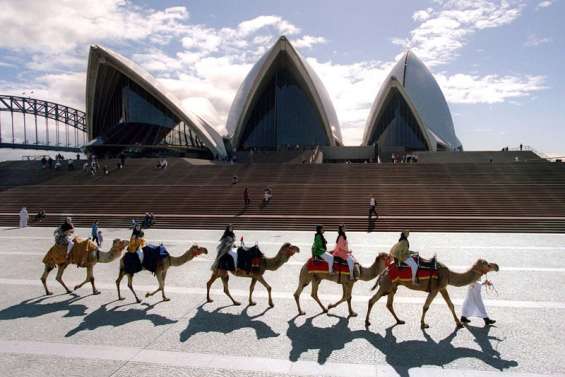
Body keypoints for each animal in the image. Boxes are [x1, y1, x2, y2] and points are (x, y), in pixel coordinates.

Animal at [364, 258, 496, 328]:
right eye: (487, 264)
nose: (497, 266)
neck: (449, 274)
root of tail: (384, 272)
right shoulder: (435, 289)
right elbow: (426, 306)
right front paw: (423, 324)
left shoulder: (442, 288)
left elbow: (450, 305)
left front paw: (459, 323)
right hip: (386, 285)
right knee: (372, 300)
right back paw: (367, 322)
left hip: (392, 286)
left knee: (389, 304)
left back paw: (399, 320)